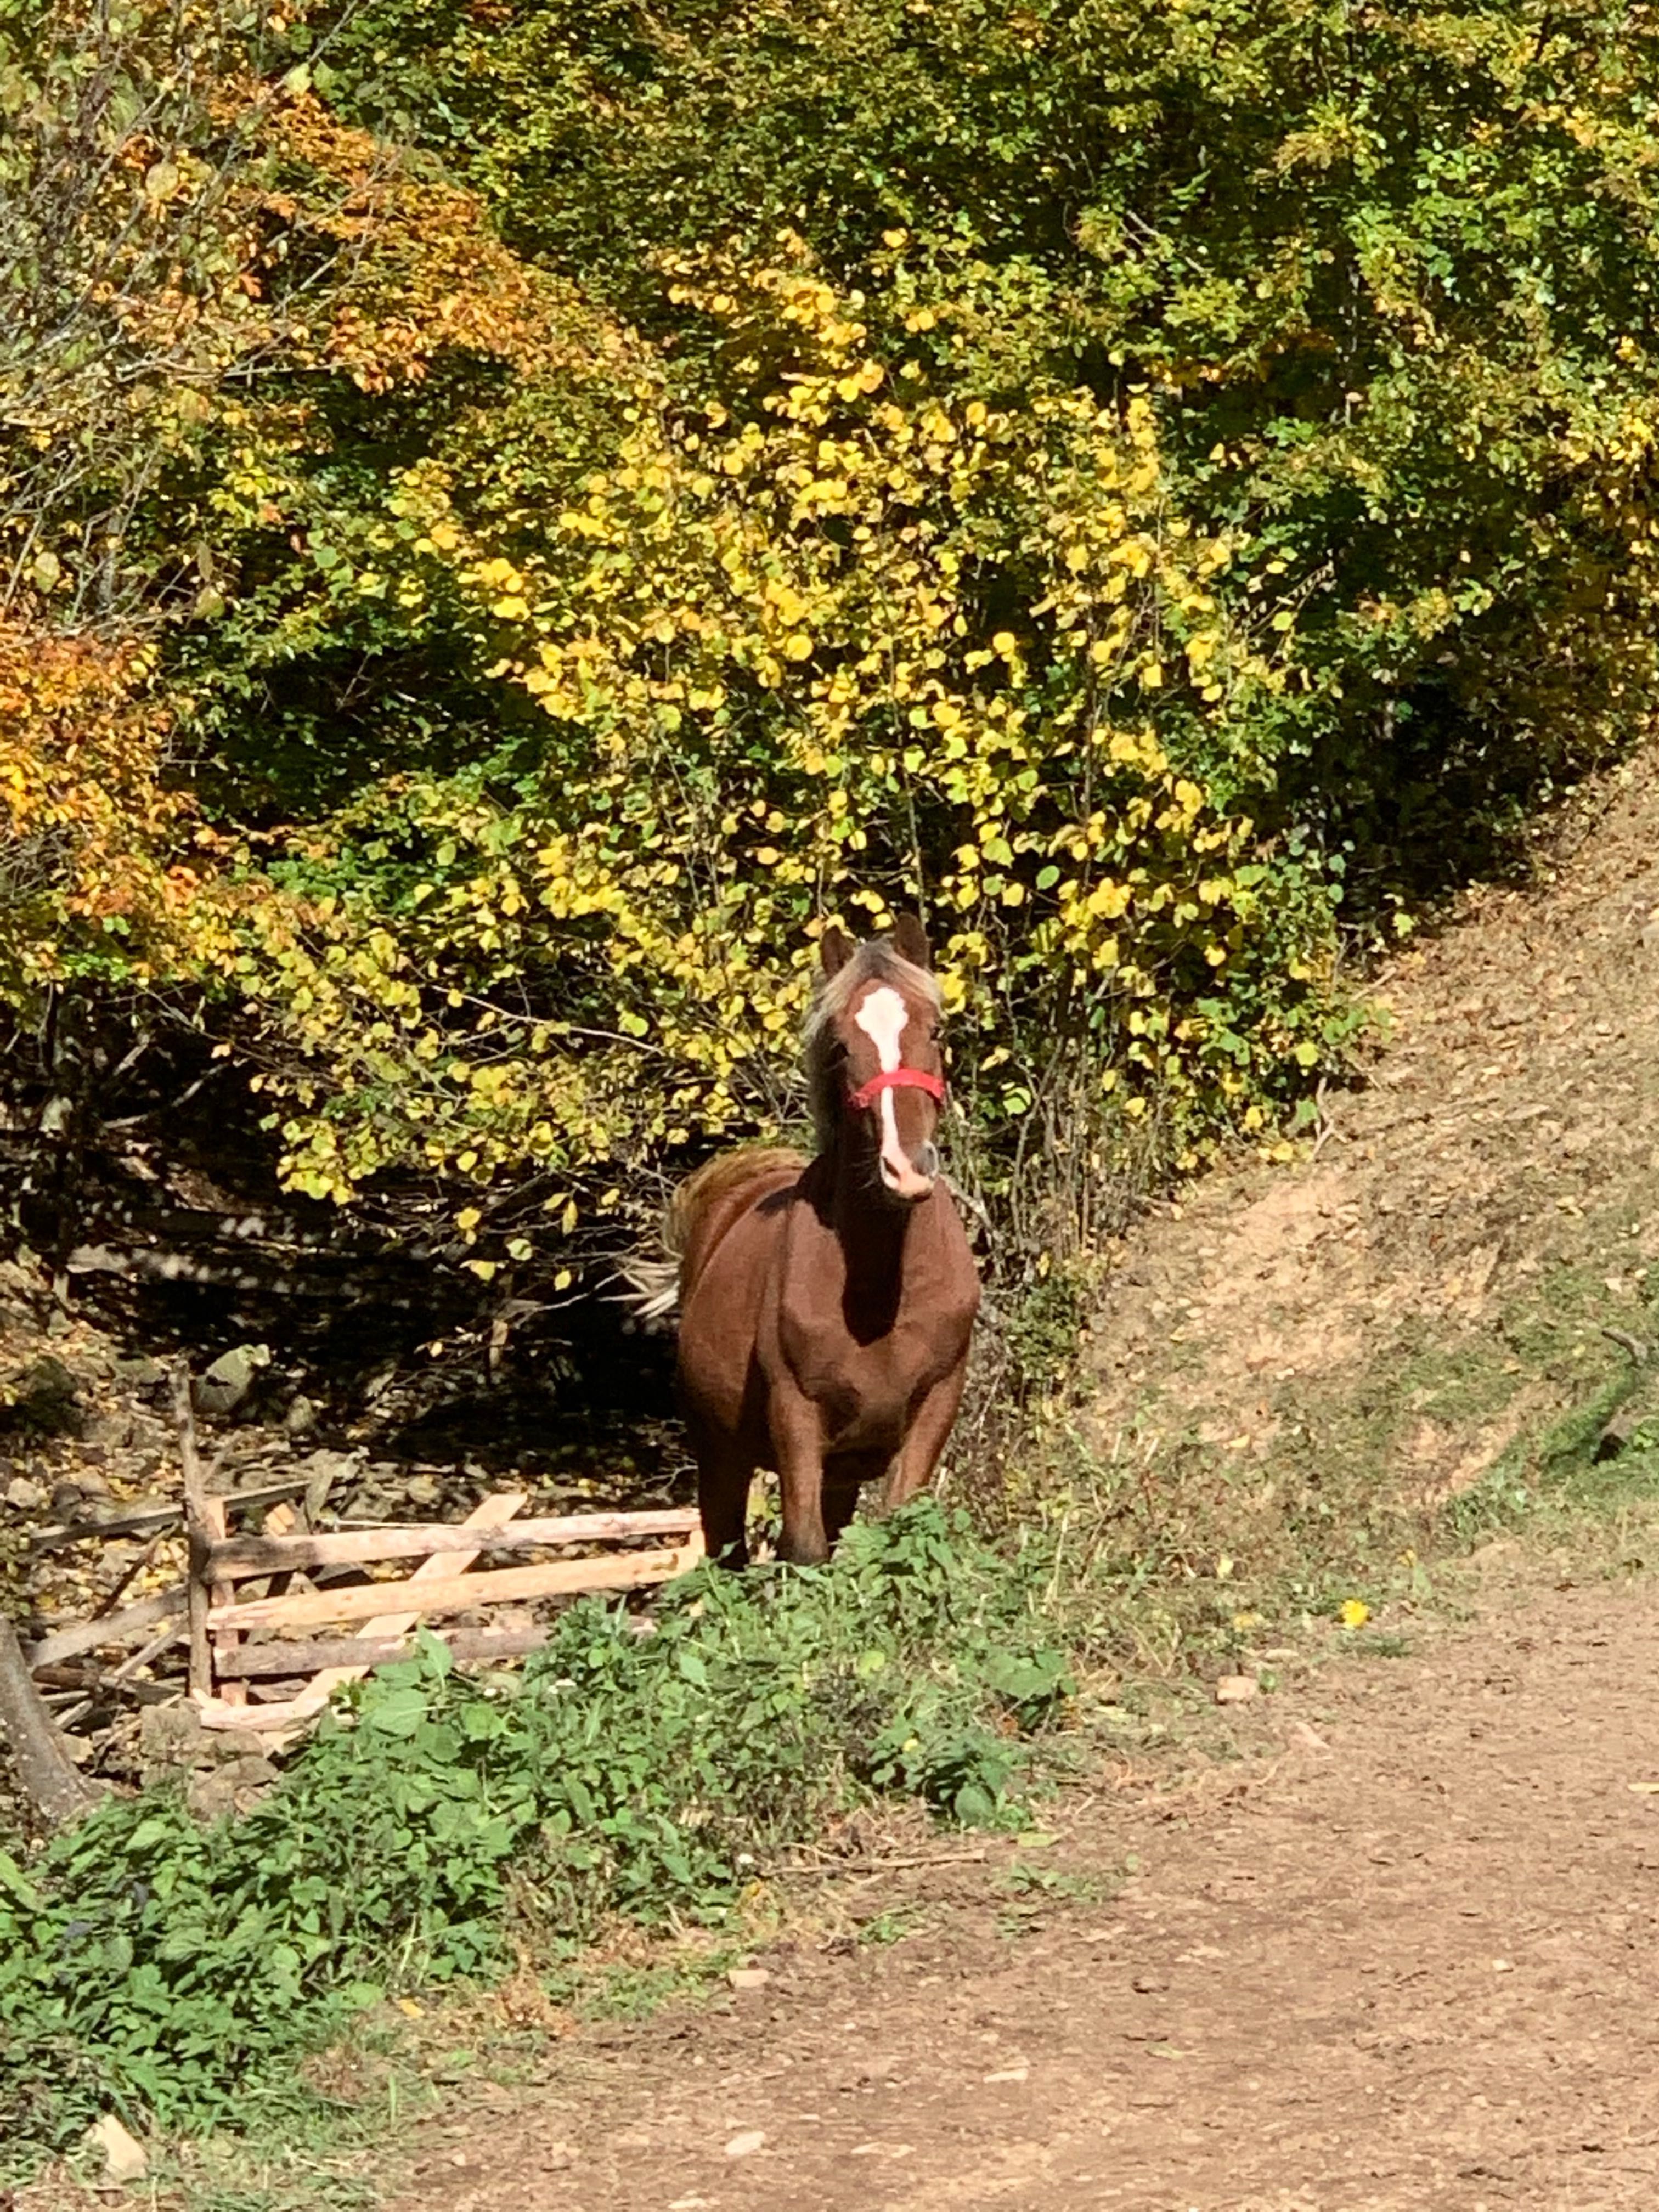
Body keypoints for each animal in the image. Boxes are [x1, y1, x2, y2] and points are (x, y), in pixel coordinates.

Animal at [641, 916, 982, 1575]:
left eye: (936, 1030)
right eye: (843, 1045)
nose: (907, 1167)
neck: (882, 1290)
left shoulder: (935, 1405)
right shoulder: (796, 1415)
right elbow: (803, 1549)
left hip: (841, 1472)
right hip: (721, 1456)